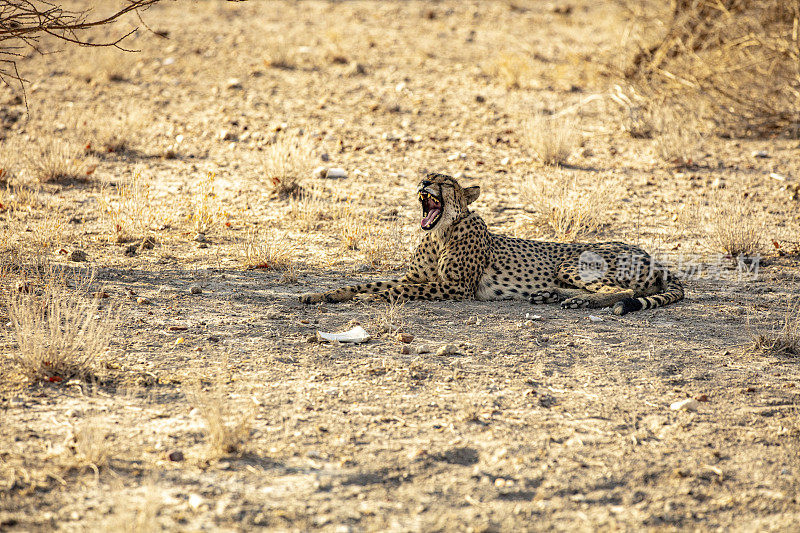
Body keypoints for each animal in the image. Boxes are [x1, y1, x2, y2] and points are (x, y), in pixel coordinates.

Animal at [296, 172, 684, 314]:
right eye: (426, 175)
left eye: (445, 181)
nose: (423, 183)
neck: (439, 232)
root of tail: (652, 256)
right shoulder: (416, 277)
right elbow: (365, 282)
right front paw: (320, 295)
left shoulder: (454, 287)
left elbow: (393, 291)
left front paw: (367, 300)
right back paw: (551, 295)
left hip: (572, 261)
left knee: (623, 292)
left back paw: (580, 302)